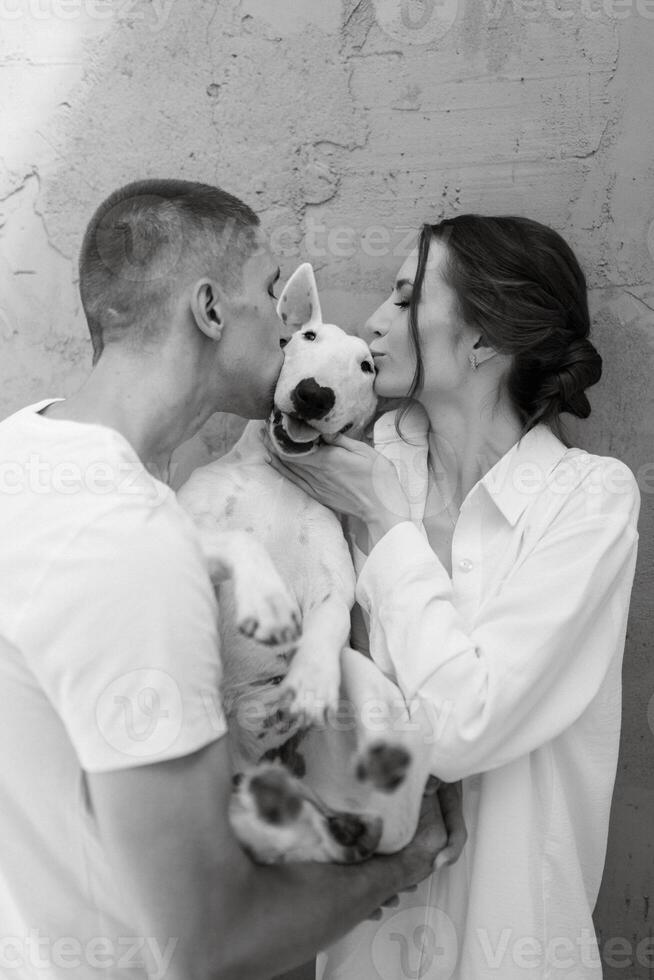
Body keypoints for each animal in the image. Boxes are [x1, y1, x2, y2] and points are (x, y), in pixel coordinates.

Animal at [178, 264, 440, 860]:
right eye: (307, 337)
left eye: (367, 366)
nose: (314, 394)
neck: (278, 475)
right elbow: (233, 544)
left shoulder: (332, 583)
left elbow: (329, 618)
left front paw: (312, 682)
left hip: (361, 684)